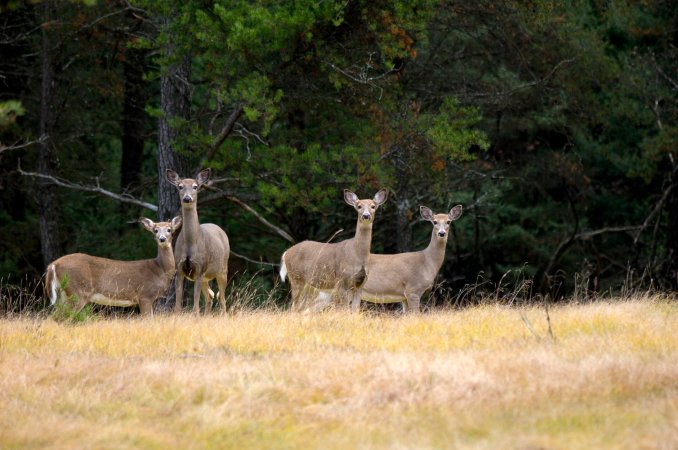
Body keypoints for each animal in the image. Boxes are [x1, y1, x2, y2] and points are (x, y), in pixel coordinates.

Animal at [44, 215, 183, 314]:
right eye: (155, 230)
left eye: (169, 229)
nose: (162, 239)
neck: (160, 270)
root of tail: (53, 265)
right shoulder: (145, 295)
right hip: (77, 291)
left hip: (63, 294)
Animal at [165, 168, 230, 312]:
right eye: (180, 186)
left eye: (195, 187)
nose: (187, 198)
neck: (190, 244)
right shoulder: (179, 270)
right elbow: (178, 306)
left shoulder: (200, 268)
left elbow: (195, 307)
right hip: (206, 277)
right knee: (210, 296)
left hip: (222, 269)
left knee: (222, 299)